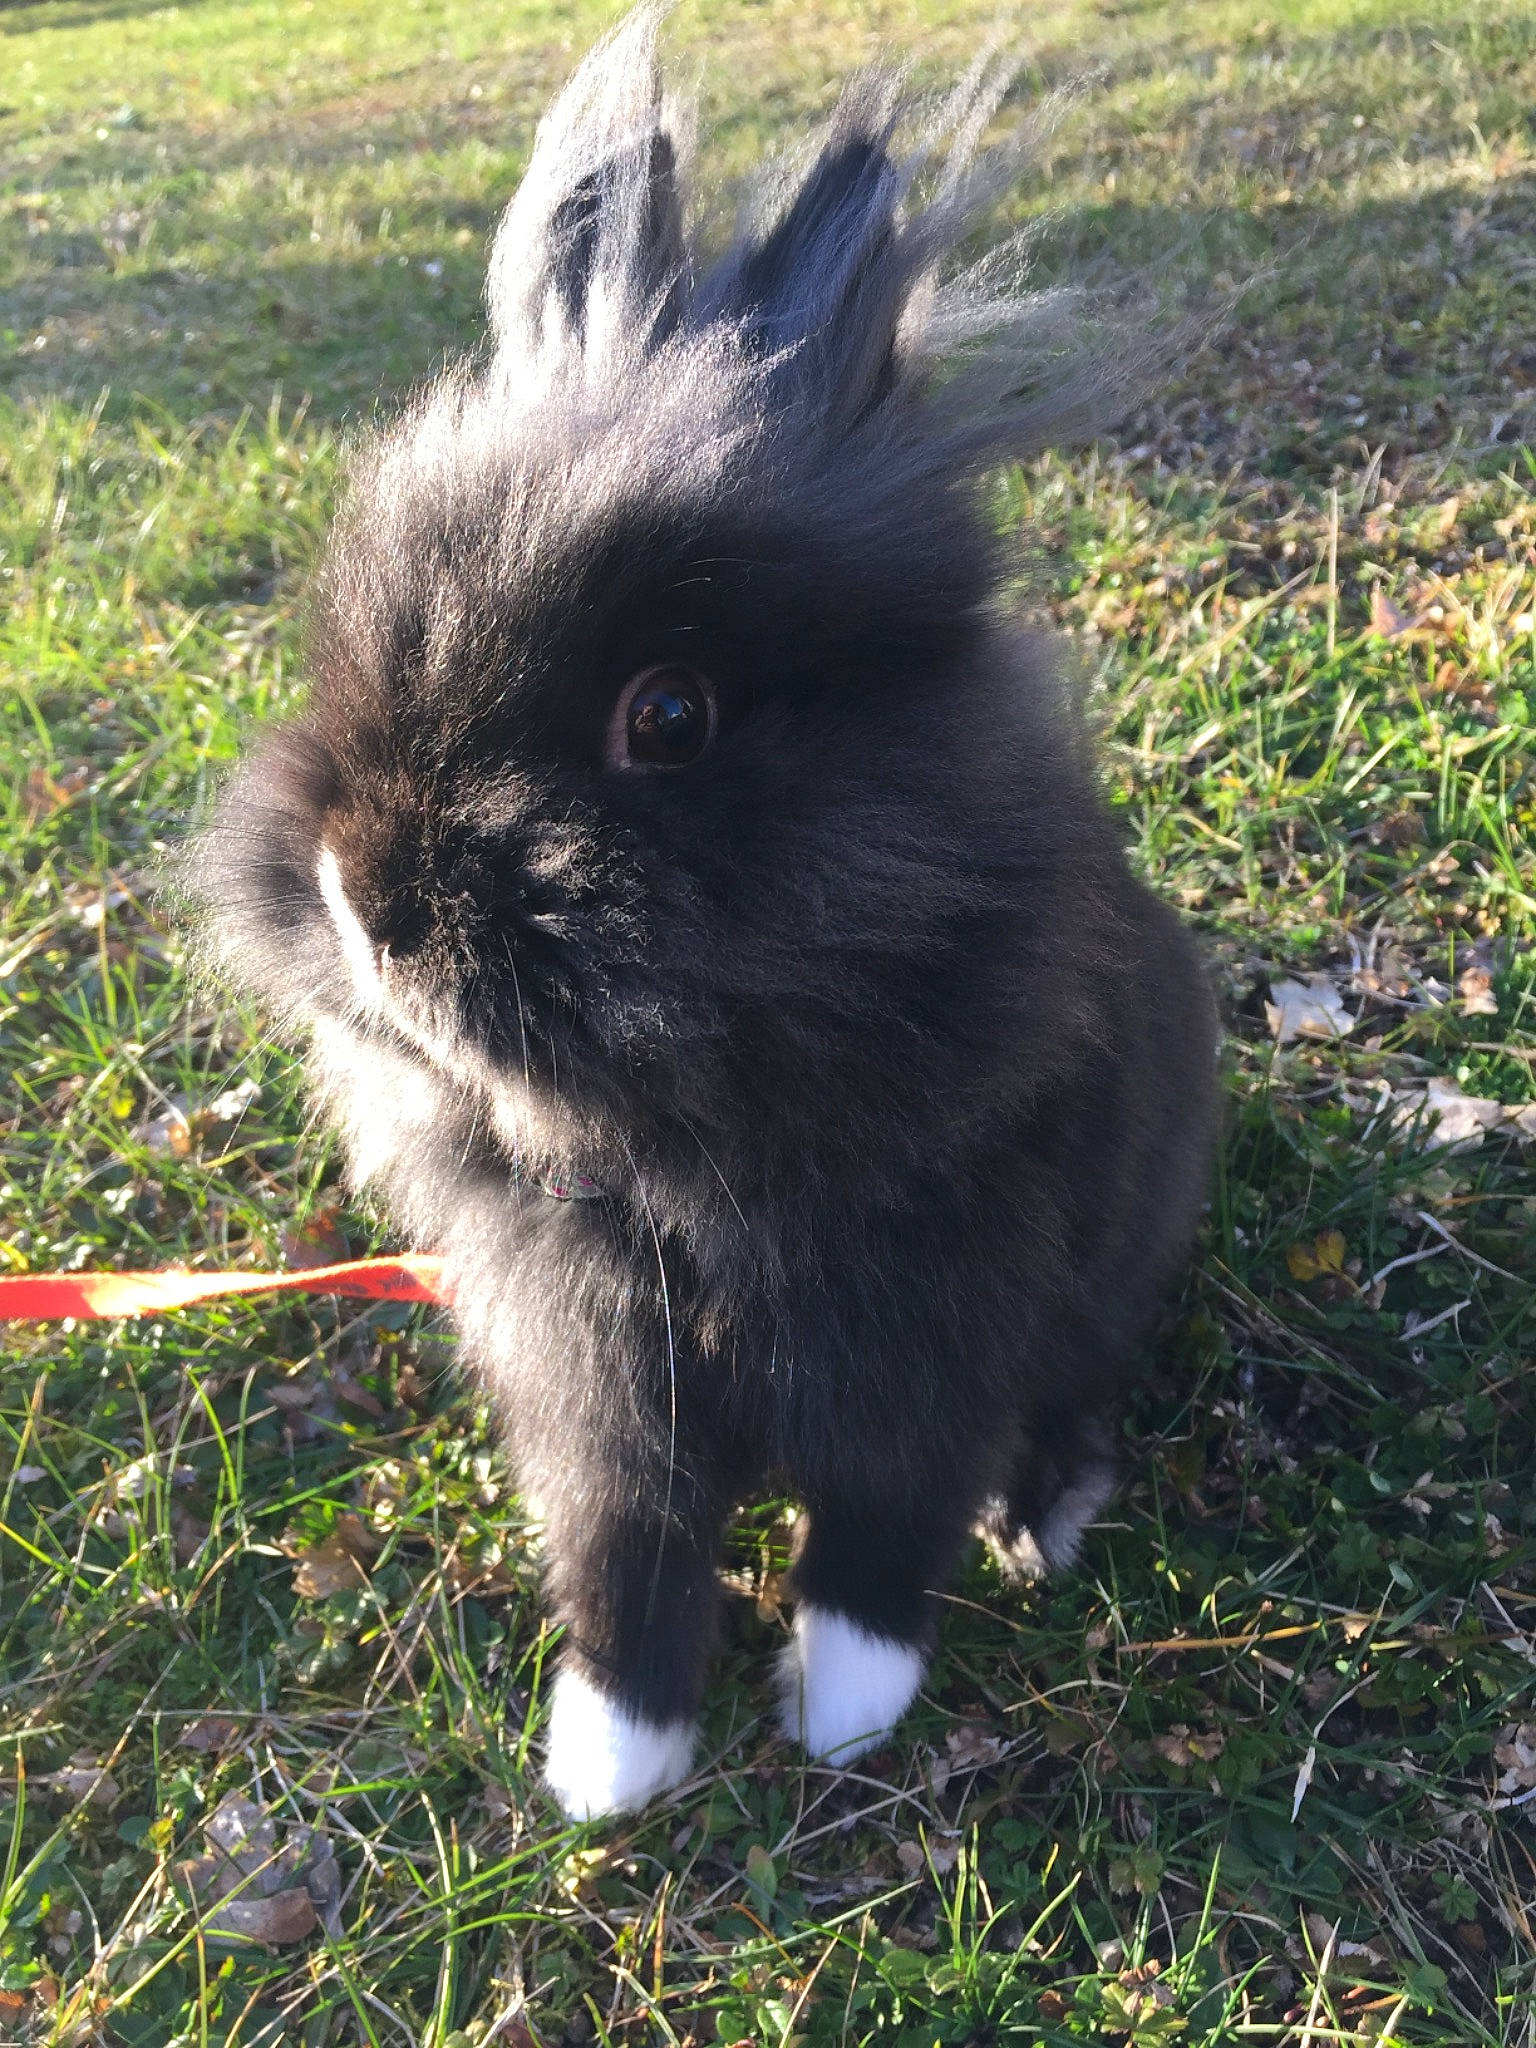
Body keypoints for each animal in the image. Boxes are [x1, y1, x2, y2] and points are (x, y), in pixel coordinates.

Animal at [189, 7, 1218, 1821]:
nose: (364, 902)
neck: (668, 1156)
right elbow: (628, 1557)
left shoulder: (934, 1323)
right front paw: (608, 1764)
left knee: (1072, 1402)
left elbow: (875, 1536)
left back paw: (1043, 1517)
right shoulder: (598, 1387)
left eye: (666, 717)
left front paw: (847, 1716)